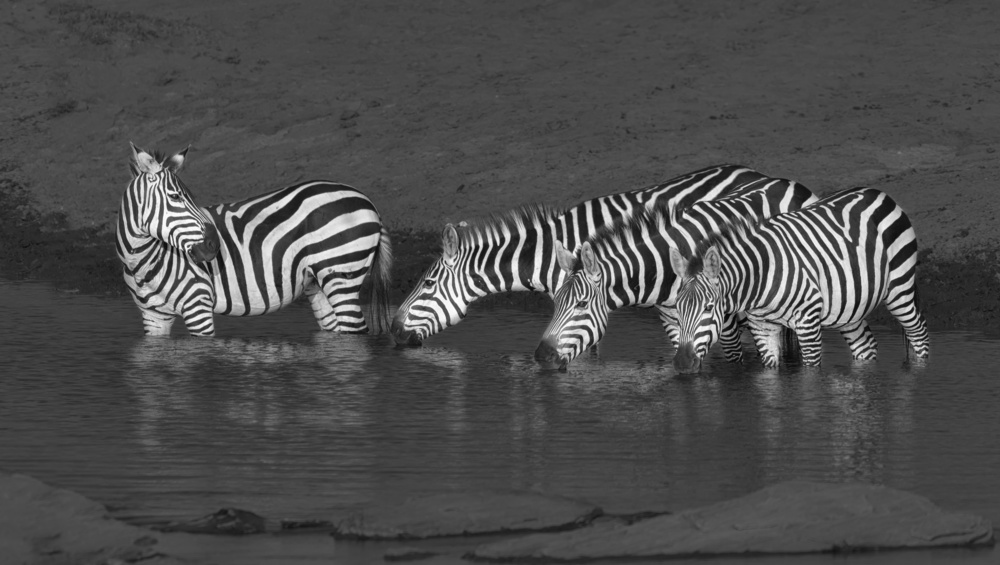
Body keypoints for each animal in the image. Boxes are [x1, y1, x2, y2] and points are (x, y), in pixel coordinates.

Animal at [116, 144, 390, 334]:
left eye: (190, 197)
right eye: (174, 197)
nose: (213, 246)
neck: (144, 262)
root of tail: (367, 200)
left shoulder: (198, 306)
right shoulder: (153, 318)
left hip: (342, 273)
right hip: (318, 283)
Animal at [536, 177, 816, 370]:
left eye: (581, 304)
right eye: (556, 302)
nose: (542, 356)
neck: (663, 271)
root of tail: (788, 182)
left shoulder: (722, 321)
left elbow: (734, 361)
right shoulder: (673, 322)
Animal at [668, 185, 932, 370]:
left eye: (708, 307)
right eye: (677, 308)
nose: (681, 363)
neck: (761, 275)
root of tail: (878, 192)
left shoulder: (807, 323)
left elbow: (810, 376)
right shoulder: (762, 327)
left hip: (899, 289)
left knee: (919, 333)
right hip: (849, 306)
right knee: (865, 346)